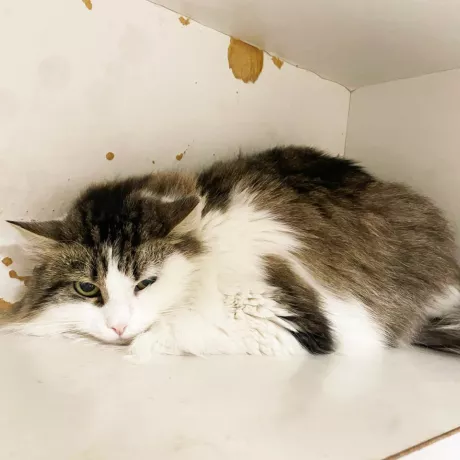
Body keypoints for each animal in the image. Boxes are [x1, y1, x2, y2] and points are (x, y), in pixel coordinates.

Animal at [3, 146, 460, 360]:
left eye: (146, 283)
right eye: (86, 289)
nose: (118, 327)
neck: (206, 247)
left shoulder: (285, 320)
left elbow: (158, 338)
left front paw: (135, 342)